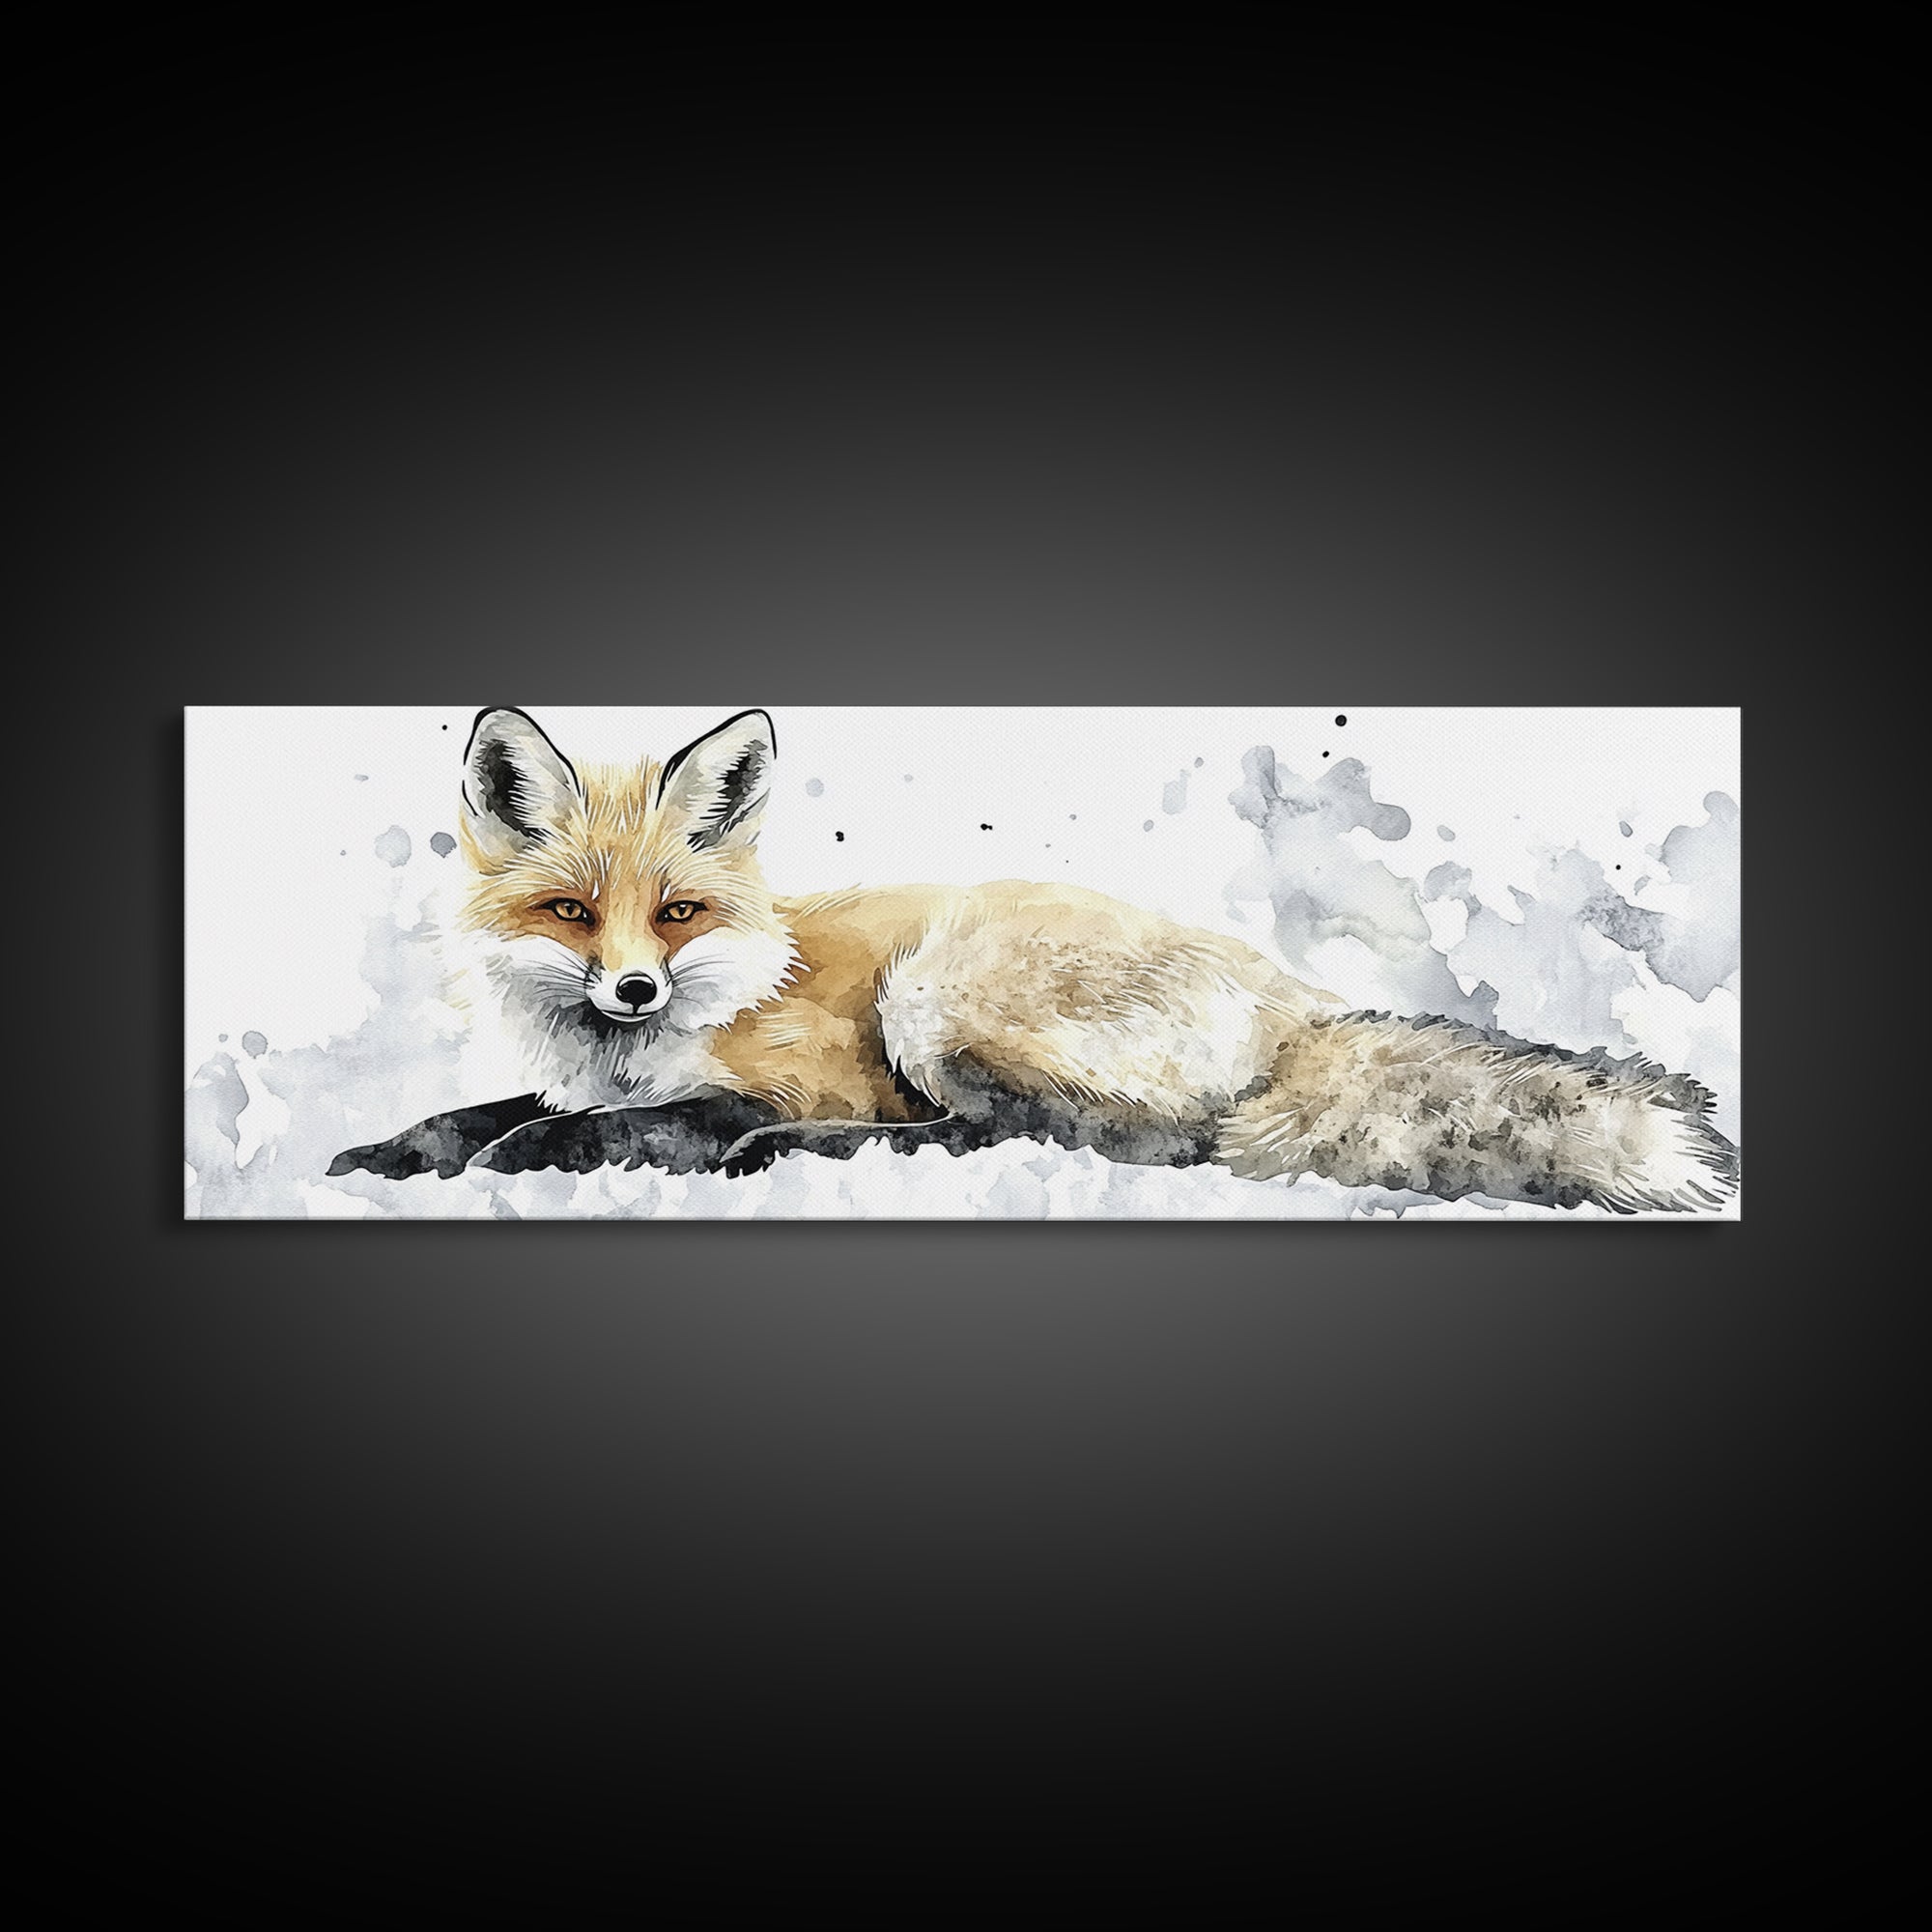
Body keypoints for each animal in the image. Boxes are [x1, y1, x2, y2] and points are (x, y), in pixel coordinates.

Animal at [331, 706, 1740, 1211]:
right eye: (574, 913)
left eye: (674, 913)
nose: (633, 986)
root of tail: (1294, 1005)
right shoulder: (570, 1072)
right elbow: (468, 1115)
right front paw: (382, 1155)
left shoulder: (778, 1074)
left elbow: (613, 1128)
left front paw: (534, 1157)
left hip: (934, 1000)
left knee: (1066, 1136)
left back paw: (789, 1156)